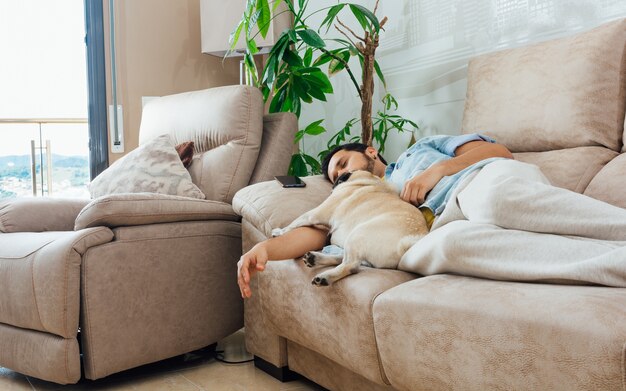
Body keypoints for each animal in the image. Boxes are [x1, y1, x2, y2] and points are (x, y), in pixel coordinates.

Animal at [270, 170, 426, 286]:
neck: (366, 182)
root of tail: (410, 242)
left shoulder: (315, 214)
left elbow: (295, 222)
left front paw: (279, 232)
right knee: (347, 260)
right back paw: (315, 259)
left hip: (358, 234)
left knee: (351, 266)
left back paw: (325, 277)